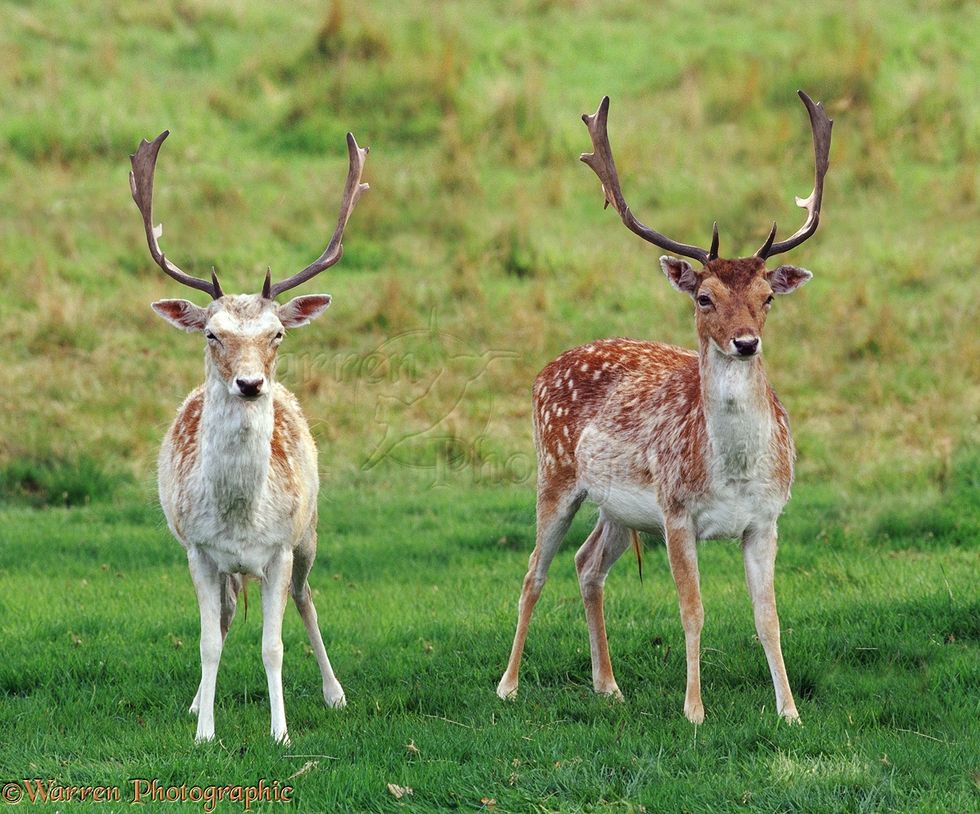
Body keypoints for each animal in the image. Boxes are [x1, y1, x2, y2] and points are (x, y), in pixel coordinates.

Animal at [130, 130, 369, 743]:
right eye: (212, 334)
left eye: (277, 333)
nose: (251, 383)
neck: (240, 515)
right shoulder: (197, 549)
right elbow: (210, 640)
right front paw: (204, 731)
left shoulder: (280, 548)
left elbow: (273, 645)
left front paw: (281, 732)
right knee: (225, 613)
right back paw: (196, 702)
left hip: (310, 530)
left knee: (306, 598)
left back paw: (336, 693)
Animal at [497, 91, 832, 724]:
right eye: (704, 297)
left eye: (768, 297)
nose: (745, 342)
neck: (734, 473)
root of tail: (543, 369)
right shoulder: (677, 512)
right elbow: (692, 610)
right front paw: (694, 711)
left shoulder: (767, 518)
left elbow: (769, 617)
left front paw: (791, 712)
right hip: (555, 472)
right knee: (534, 570)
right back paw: (507, 685)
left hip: (618, 507)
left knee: (587, 564)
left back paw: (608, 685)